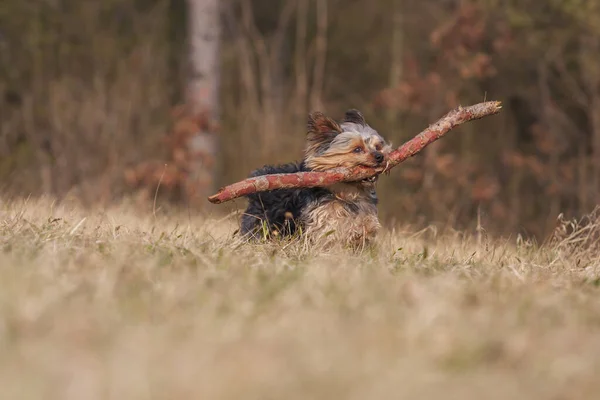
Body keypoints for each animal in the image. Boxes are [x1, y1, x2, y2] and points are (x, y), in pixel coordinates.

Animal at [239, 108, 394, 248]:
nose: (380, 156)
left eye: (378, 147)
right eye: (357, 149)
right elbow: (330, 236)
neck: (348, 192)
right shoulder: (323, 221)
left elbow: (364, 228)